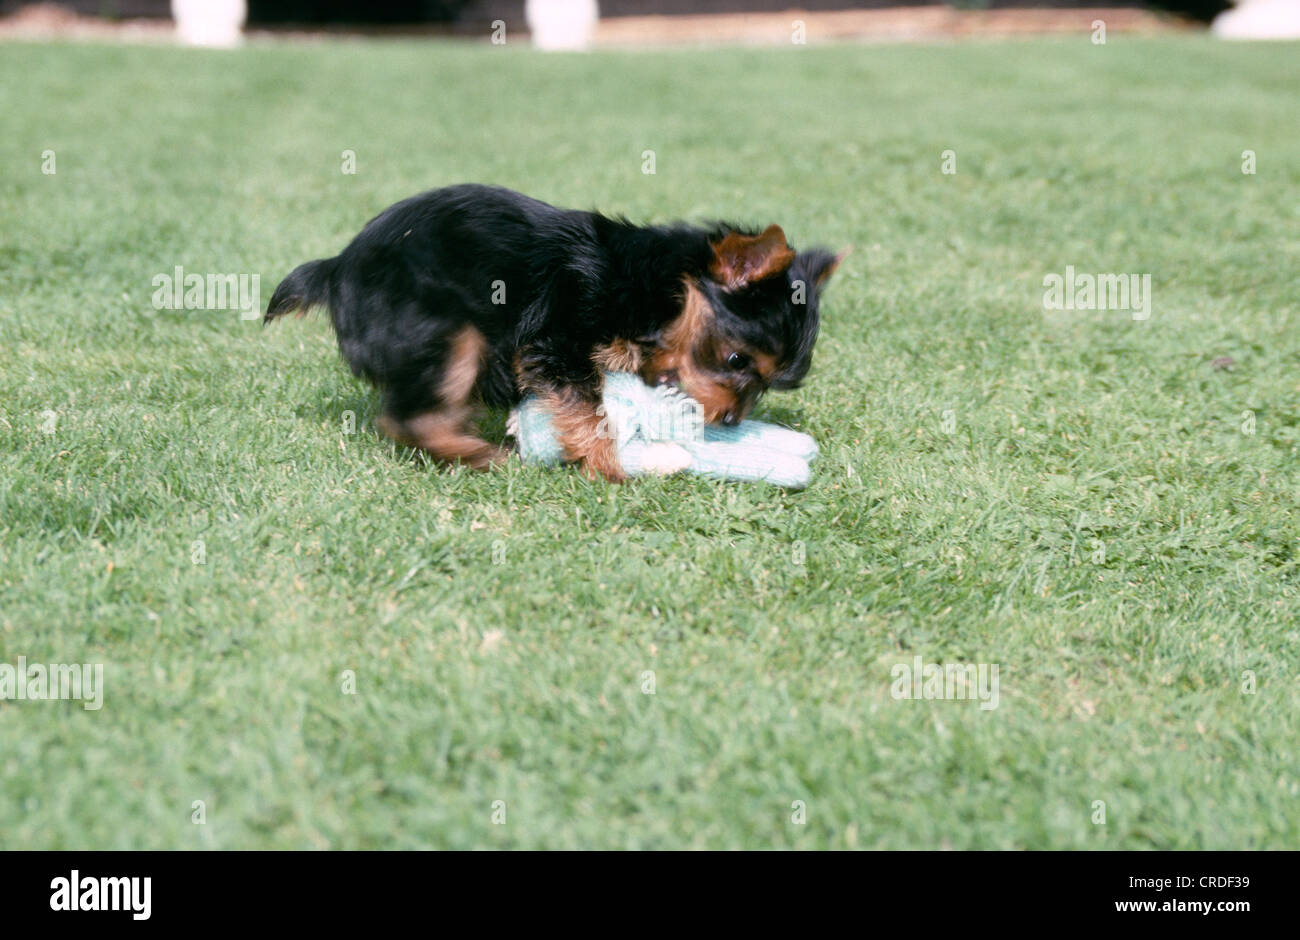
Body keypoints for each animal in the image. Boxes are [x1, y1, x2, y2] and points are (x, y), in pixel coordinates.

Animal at [269, 183, 847, 481]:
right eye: (736, 361)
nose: (731, 422)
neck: (650, 290)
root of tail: (336, 269)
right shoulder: (560, 336)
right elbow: (589, 409)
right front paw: (612, 464)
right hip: (448, 329)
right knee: (407, 414)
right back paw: (478, 455)